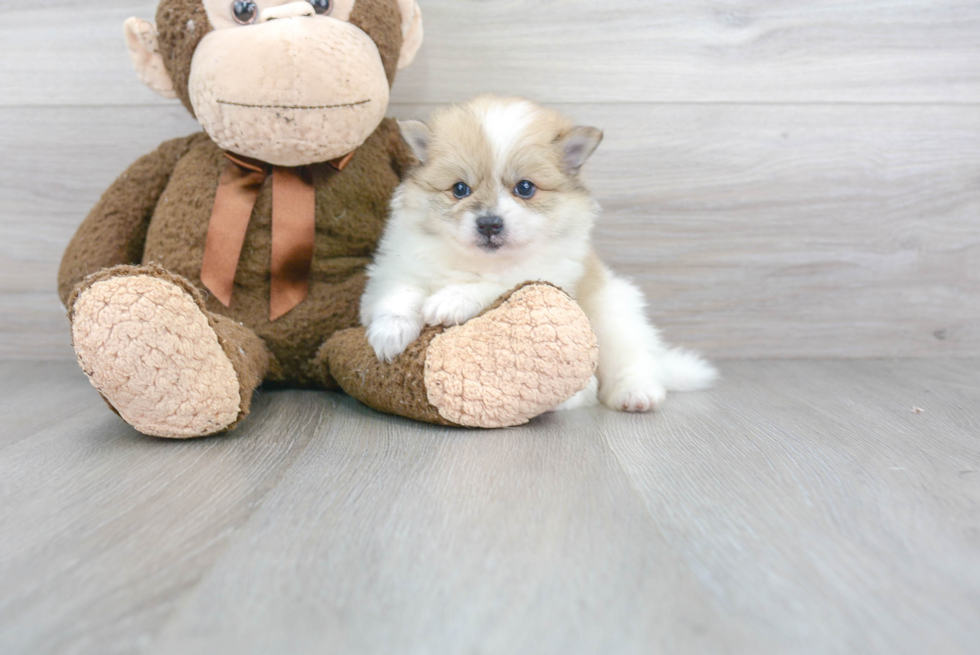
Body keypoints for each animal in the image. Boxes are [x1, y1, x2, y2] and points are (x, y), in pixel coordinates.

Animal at [360, 95, 712, 412]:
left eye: (525, 188)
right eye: (460, 189)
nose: (489, 224)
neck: (479, 261)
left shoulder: (546, 275)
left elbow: (495, 285)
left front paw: (451, 299)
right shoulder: (397, 266)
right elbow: (400, 293)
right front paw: (391, 333)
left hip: (614, 315)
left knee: (633, 362)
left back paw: (634, 395)